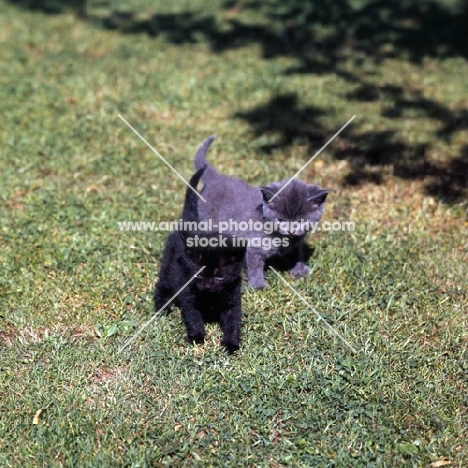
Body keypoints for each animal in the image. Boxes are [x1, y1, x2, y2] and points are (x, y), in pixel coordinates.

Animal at [154, 166, 249, 352]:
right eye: (198, 275)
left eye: (219, 276)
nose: (208, 286)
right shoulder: (188, 295)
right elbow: (193, 317)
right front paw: (197, 337)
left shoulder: (233, 299)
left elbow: (233, 321)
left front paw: (231, 343)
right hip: (168, 268)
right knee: (162, 285)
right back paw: (161, 307)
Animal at [194, 135, 330, 288]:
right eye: (281, 220)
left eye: (301, 221)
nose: (291, 230)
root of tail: (215, 179)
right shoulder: (254, 247)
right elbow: (255, 266)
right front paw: (258, 285)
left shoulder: (295, 245)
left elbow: (295, 255)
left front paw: (299, 270)